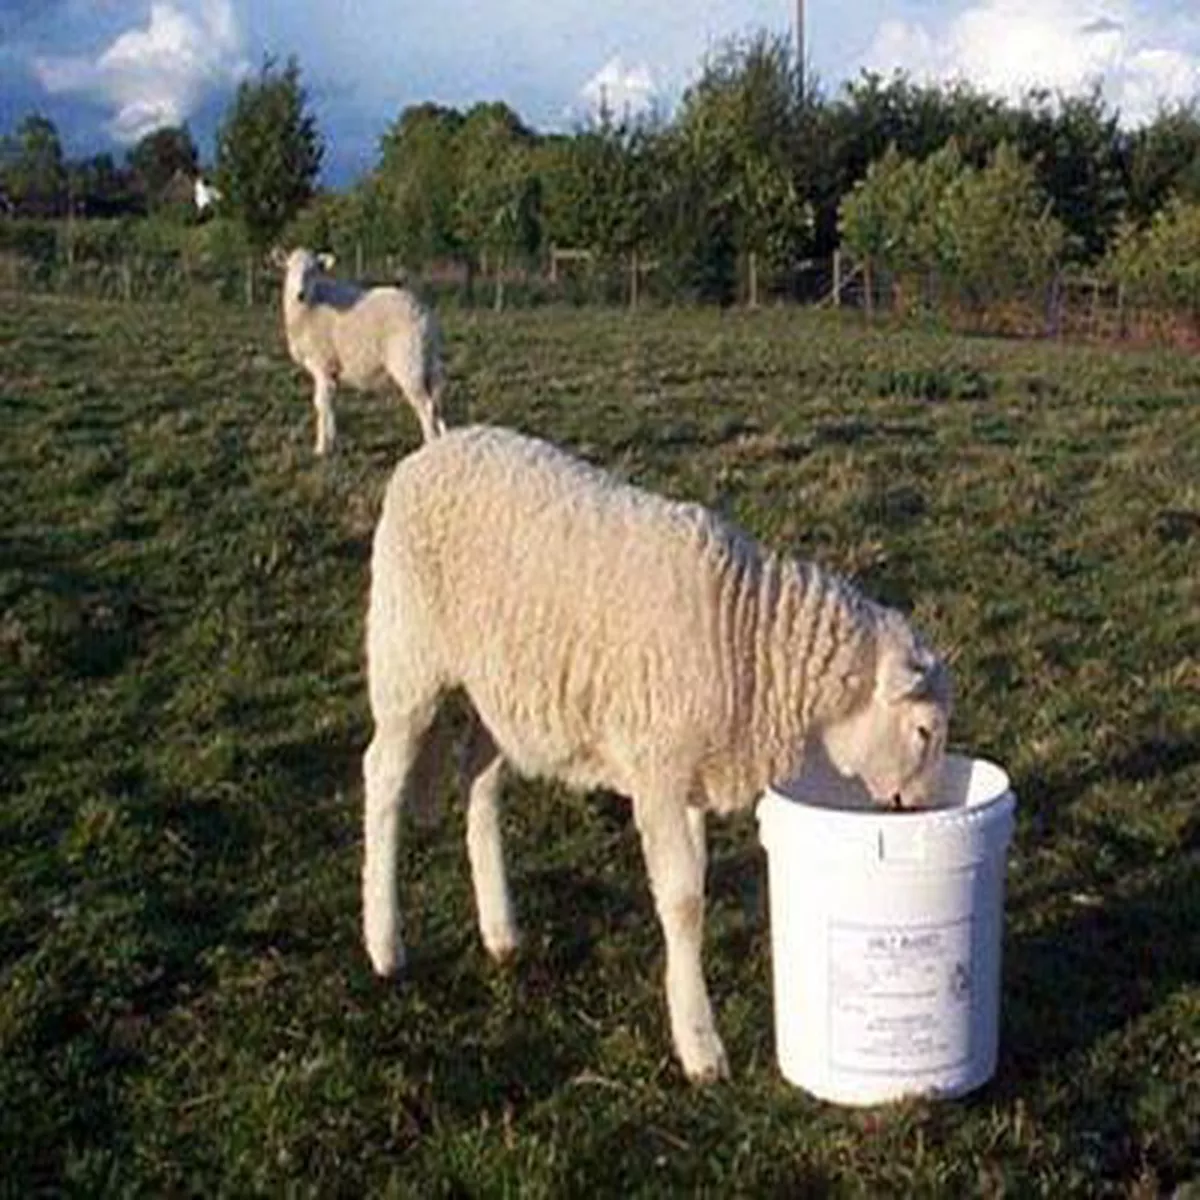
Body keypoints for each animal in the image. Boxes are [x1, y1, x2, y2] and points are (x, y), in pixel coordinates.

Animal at [275, 247, 446, 454]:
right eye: (289, 268)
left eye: (313, 270)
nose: (300, 294)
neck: (313, 304)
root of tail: (424, 314)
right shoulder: (331, 370)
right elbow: (330, 404)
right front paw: (332, 441)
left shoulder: (322, 362)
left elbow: (320, 404)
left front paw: (321, 448)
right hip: (428, 361)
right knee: (438, 403)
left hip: (408, 361)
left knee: (426, 406)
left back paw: (430, 444)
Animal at [362, 425, 952, 1083]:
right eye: (924, 731)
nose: (921, 808)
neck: (750, 641)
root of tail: (437, 445)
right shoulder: (661, 769)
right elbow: (684, 899)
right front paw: (699, 1043)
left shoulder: (692, 770)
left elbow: (694, 882)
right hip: (406, 656)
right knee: (382, 778)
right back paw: (384, 943)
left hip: (505, 692)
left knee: (479, 782)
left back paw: (501, 931)